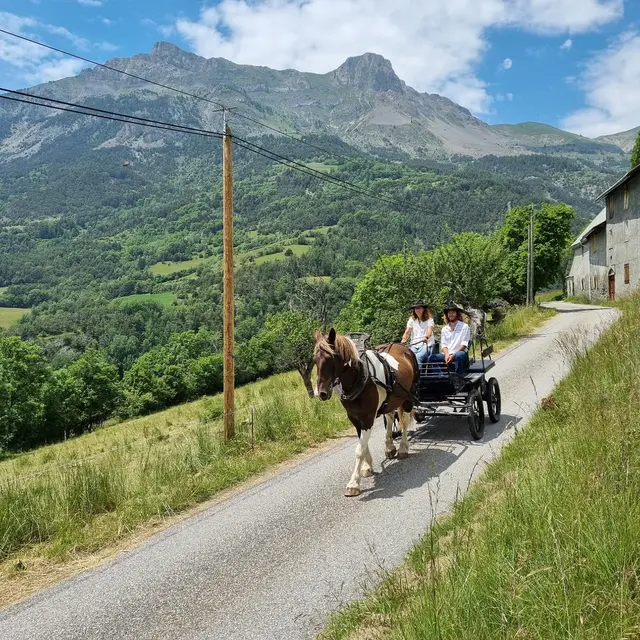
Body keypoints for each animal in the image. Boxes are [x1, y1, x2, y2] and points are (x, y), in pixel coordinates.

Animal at [314, 328, 420, 498]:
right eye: (315, 359)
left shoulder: (368, 418)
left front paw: (353, 483)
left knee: (403, 420)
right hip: (391, 400)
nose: (321, 393)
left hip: (408, 397)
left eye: (331, 357)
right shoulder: (355, 419)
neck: (360, 378)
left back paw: (403, 448)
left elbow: (359, 450)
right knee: (390, 417)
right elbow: (363, 445)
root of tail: (403, 347)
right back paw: (390, 447)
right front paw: (367, 466)